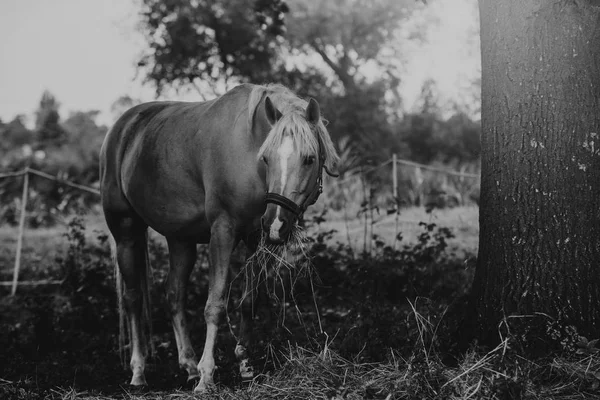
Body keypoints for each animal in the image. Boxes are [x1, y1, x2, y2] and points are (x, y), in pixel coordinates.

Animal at [101, 83, 340, 392]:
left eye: (309, 159)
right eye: (266, 158)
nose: (276, 222)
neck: (247, 152)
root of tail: (122, 128)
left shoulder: (254, 238)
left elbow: (249, 302)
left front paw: (245, 364)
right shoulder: (223, 232)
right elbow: (214, 304)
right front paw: (207, 376)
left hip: (181, 241)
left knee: (174, 295)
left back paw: (188, 366)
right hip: (126, 233)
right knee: (132, 299)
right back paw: (139, 371)